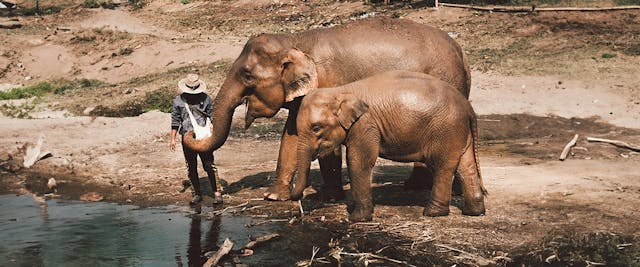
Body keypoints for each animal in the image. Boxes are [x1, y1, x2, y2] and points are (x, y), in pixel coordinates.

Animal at [185, 16, 470, 201]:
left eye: (246, 75)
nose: (188, 132)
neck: (295, 40)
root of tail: (461, 52)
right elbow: (291, 135)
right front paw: (274, 197)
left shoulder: (330, 82)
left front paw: (329, 198)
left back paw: (418, 188)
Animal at [290, 70, 484, 222]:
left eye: (316, 128)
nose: (299, 201)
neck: (341, 91)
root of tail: (468, 107)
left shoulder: (365, 124)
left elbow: (359, 161)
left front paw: (356, 219)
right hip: (457, 131)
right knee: (465, 166)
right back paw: (474, 212)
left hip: (445, 130)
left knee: (442, 167)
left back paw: (432, 213)